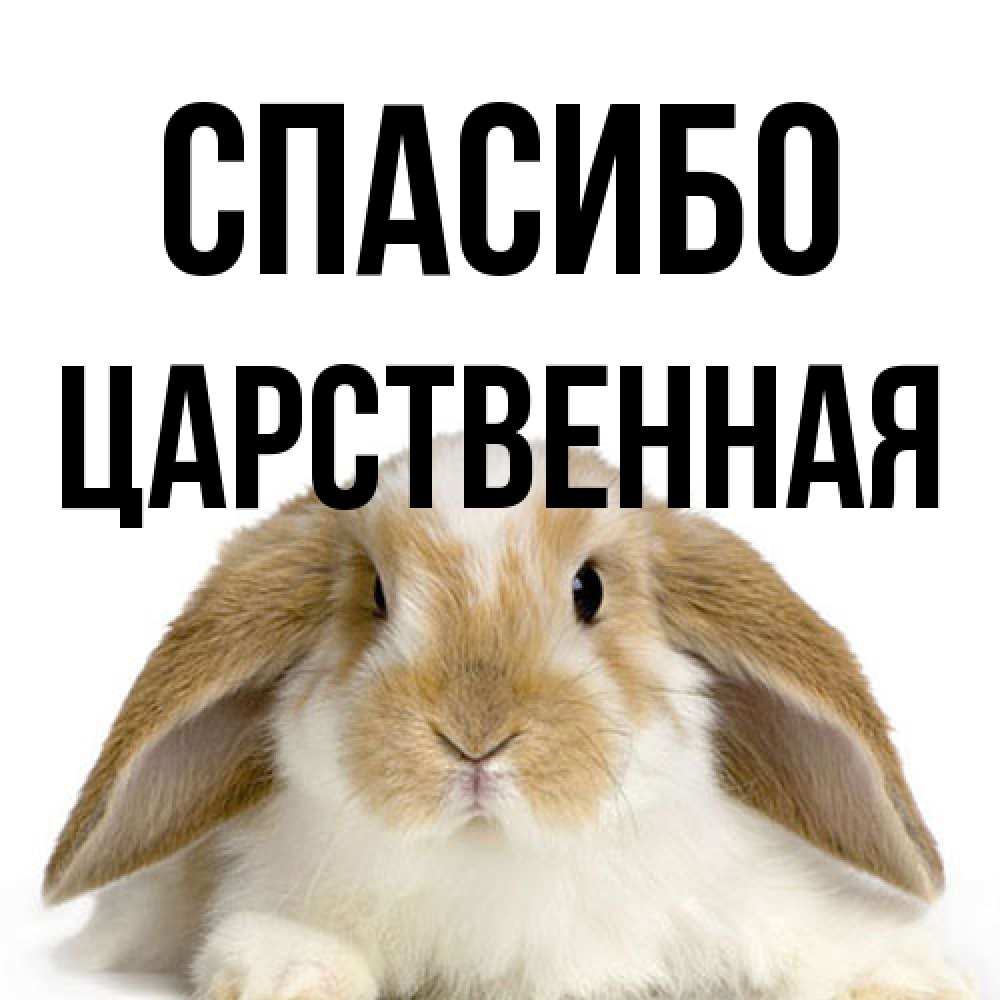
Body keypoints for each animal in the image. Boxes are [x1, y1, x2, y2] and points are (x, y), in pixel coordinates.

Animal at [45, 435, 975, 1000]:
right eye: (376, 596)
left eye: (589, 589)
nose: (475, 737)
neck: (495, 857)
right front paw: (291, 977)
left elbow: (816, 938)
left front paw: (910, 978)